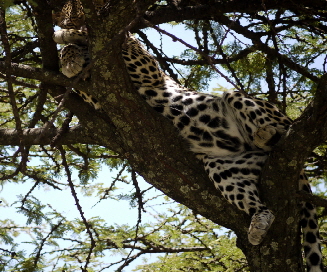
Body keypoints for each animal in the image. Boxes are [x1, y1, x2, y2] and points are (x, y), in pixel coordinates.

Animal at [52, 1, 324, 270]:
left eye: (75, 11)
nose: (67, 21)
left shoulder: (145, 68)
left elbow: (110, 42)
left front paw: (67, 38)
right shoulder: (98, 97)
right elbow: (76, 69)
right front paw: (69, 59)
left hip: (242, 100)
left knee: (280, 128)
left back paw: (266, 134)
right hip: (223, 166)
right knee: (264, 207)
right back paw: (258, 224)